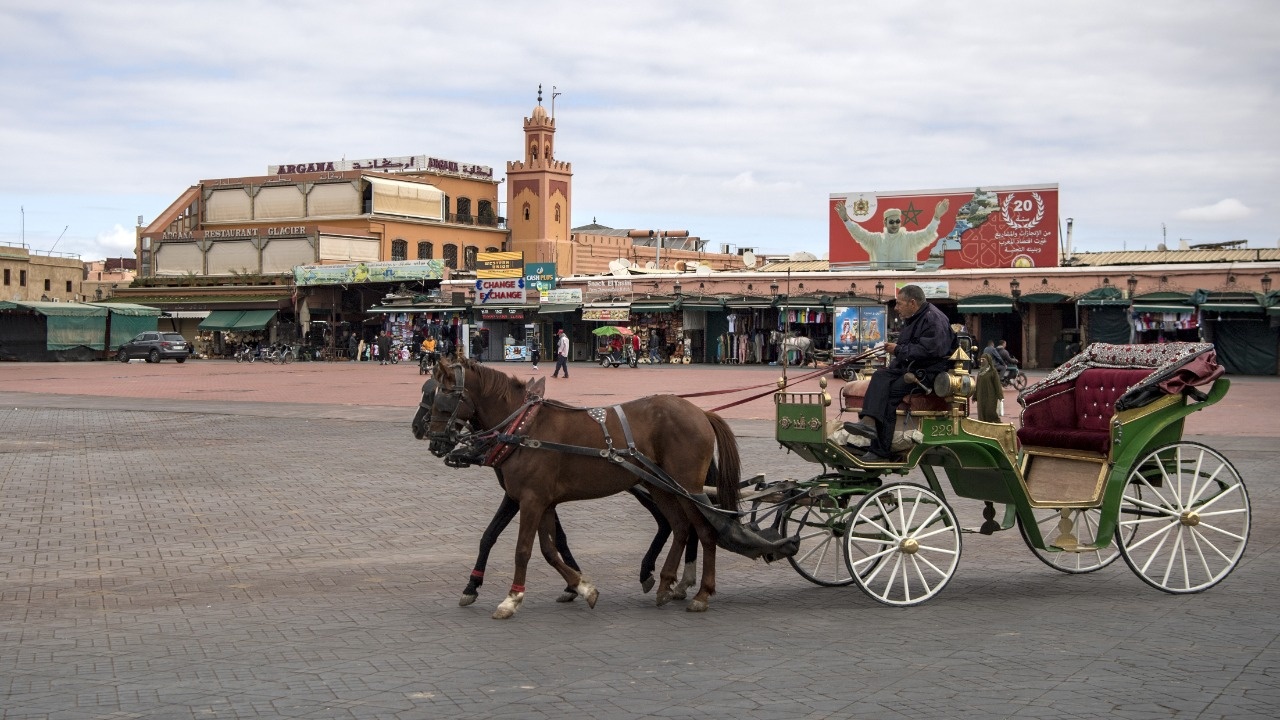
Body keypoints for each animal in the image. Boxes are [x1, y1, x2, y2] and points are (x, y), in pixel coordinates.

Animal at [422, 353, 742, 617]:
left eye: (444, 395)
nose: (433, 439)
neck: (524, 428)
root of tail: (701, 413)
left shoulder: (531, 499)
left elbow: (523, 549)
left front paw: (512, 598)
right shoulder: (542, 501)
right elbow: (549, 550)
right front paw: (582, 587)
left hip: (688, 488)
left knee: (705, 532)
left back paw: (701, 593)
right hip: (662, 488)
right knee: (680, 528)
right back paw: (666, 584)